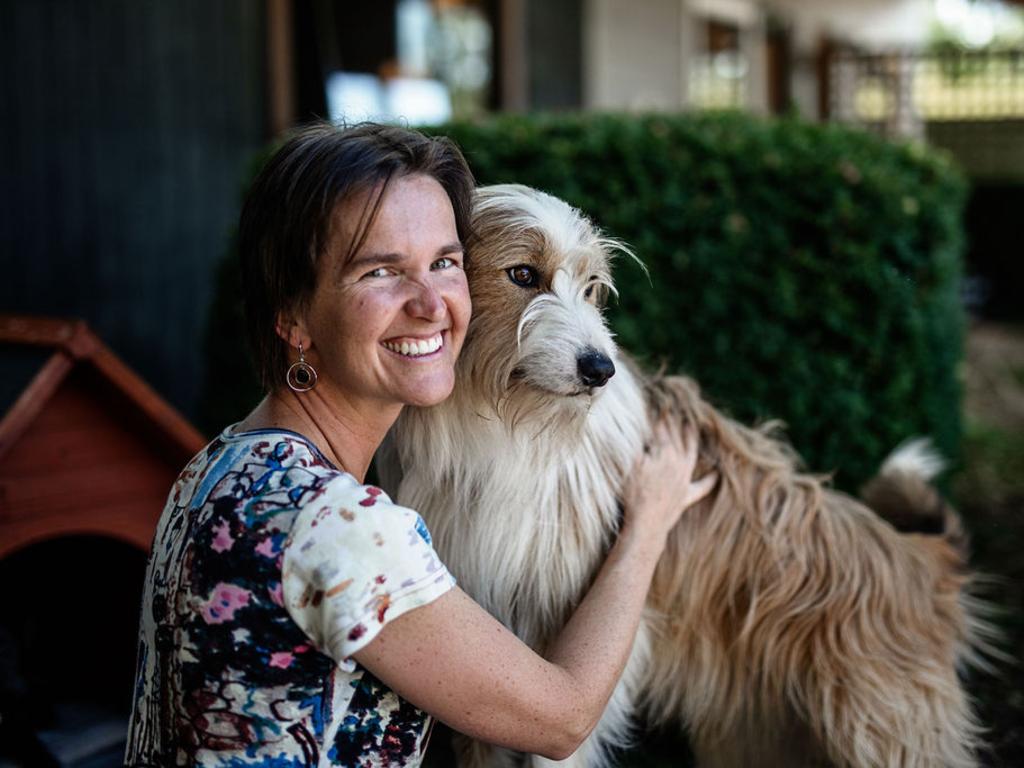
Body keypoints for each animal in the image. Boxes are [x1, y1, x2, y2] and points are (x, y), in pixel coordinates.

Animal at [380, 183, 987, 765]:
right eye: (523, 274)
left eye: (592, 288)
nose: (600, 370)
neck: (503, 430)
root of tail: (917, 561)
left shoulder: (569, 656)